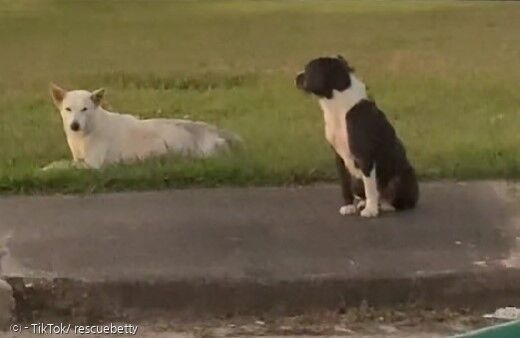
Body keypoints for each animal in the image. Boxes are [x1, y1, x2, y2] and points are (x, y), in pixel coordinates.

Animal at [47, 84, 239, 169]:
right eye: (68, 109)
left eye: (84, 109)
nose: (74, 125)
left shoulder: (92, 164)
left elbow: (60, 165)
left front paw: (44, 169)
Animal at [296, 55, 418, 218]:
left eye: (309, 69)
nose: (296, 77)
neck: (339, 104)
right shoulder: (339, 157)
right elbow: (345, 184)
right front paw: (349, 206)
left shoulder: (364, 155)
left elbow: (370, 187)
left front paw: (371, 210)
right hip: (357, 181)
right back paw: (363, 203)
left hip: (400, 178)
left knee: (394, 199)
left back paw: (384, 206)